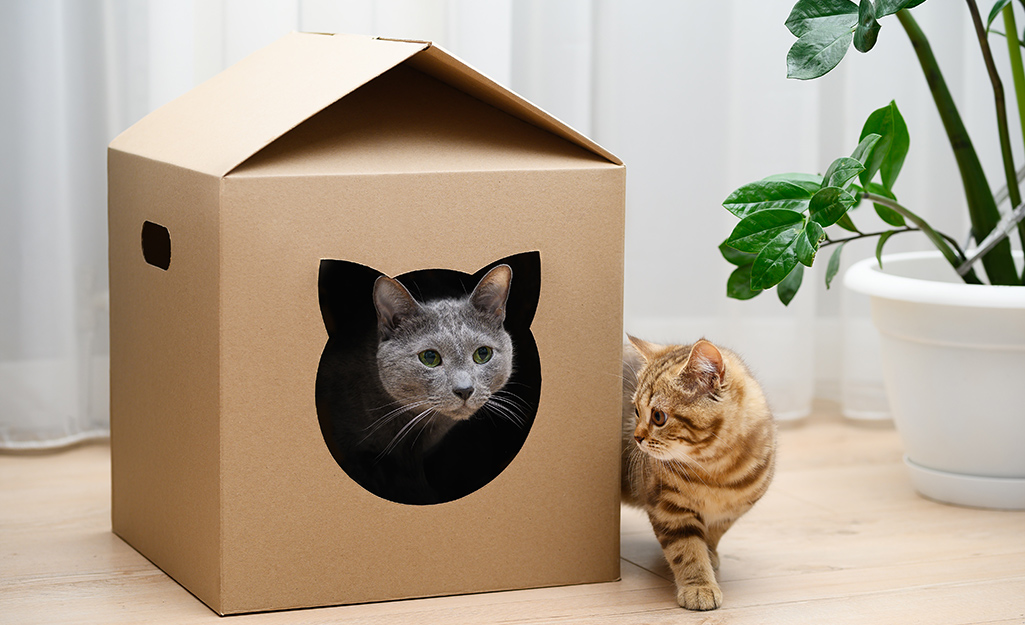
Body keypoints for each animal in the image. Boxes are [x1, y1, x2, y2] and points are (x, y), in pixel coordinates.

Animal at [619, 336, 770, 606]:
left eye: (658, 416)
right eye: (635, 410)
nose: (636, 437)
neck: (715, 472)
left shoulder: (733, 510)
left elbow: (713, 535)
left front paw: (710, 555)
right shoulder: (668, 508)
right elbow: (687, 550)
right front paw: (699, 586)